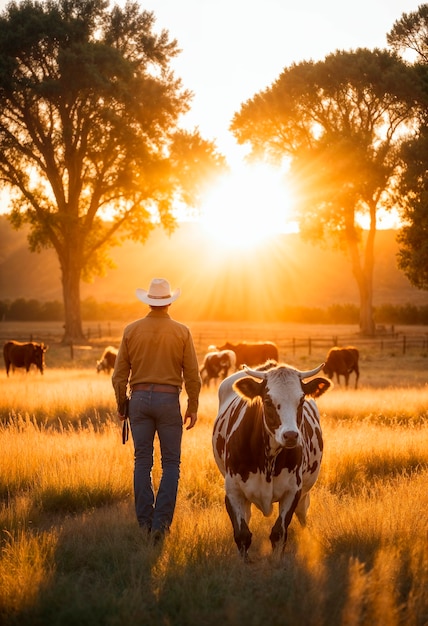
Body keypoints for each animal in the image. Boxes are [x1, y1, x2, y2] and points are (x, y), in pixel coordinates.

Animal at [211, 358, 332, 560]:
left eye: (301, 400)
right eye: (268, 401)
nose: (290, 435)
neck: (267, 460)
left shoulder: (293, 491)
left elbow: (278, 533)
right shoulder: (233, 491)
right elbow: (242, 534)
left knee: (302, 514)